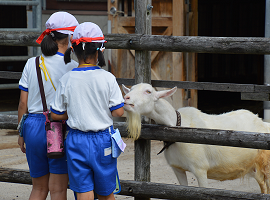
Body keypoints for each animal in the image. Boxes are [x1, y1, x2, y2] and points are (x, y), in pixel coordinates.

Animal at [123, 83, 270, 194]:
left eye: (148, 91)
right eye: (131, 89)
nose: (126, 98)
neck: (178, 124)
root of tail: (263, 123)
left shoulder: (200, 169)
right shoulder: (178, 169)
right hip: (255, 167)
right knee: (263, 187)